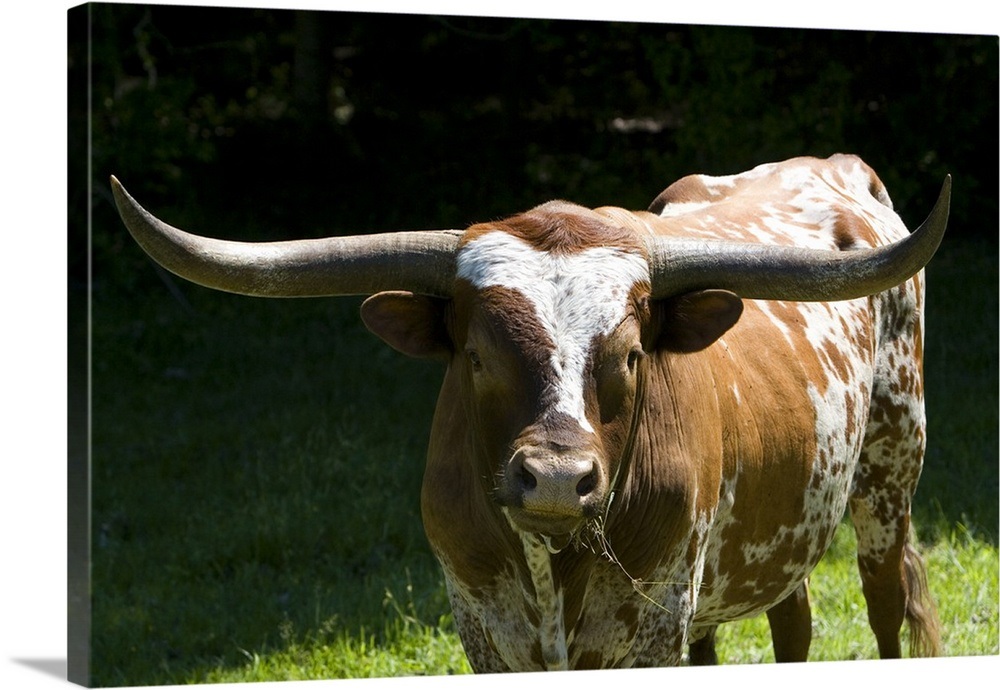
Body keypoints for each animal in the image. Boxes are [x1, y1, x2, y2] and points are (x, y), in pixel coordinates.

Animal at [112, 154, 948, 671]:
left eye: (632, 354)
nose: (553, 480)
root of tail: (834, 165)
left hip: (889, 475)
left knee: (885, 603)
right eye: (477, 357)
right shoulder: (481, 624)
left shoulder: (651, 625)